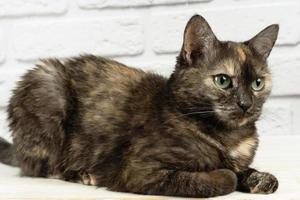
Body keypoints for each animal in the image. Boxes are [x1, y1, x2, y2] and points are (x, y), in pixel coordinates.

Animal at [0, 14, 278, 198]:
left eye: (257, 83)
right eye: (223, 80)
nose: (246, 104)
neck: (229, 136)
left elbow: (244, 170)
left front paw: (260, 178)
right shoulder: (139, 170)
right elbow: (224, 177)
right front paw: (228, 175)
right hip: (48, 83)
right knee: (44, 167)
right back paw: (83, 174)